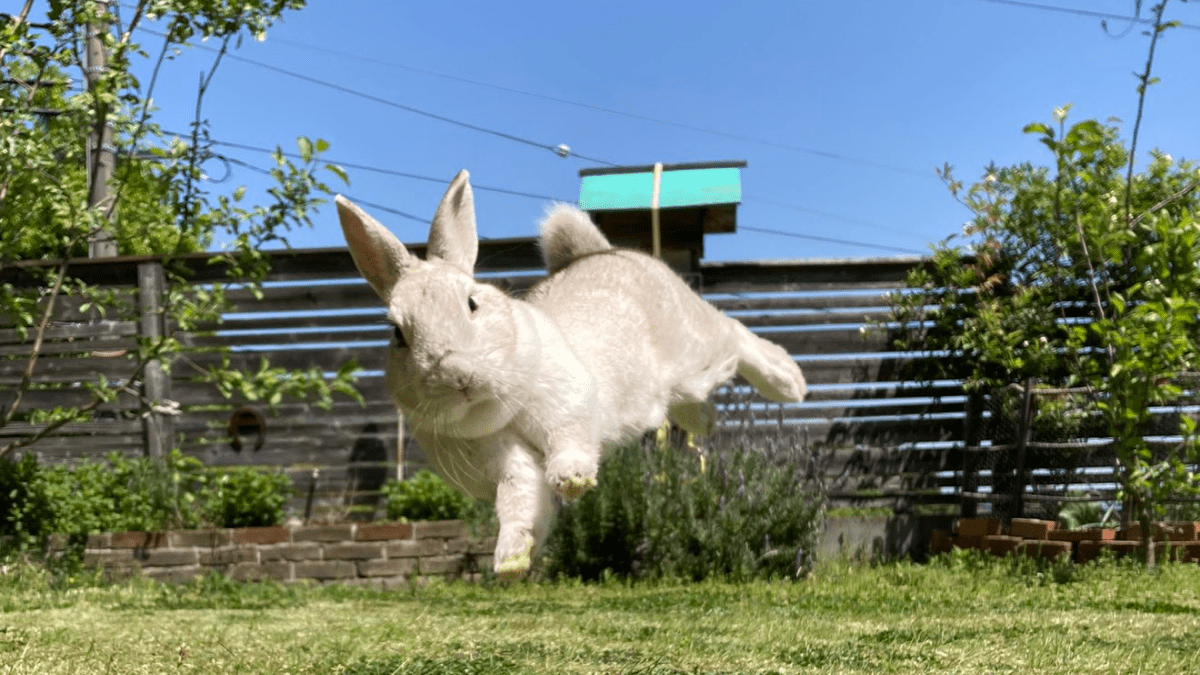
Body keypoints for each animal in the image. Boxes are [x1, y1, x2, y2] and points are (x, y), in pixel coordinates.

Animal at [338, 170, 806, 576]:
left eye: (471, 303)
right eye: (397, 334)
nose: (456, 374)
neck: (497, 410)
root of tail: (602, 251)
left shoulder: (565, 408)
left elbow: (568, 445)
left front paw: (572, 481)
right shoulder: (503, 463)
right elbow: (520, 503)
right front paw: (510, 561)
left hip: (697, 354)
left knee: (736, 335)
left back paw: (790, 382)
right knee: (690, 399)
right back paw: (707, 421)